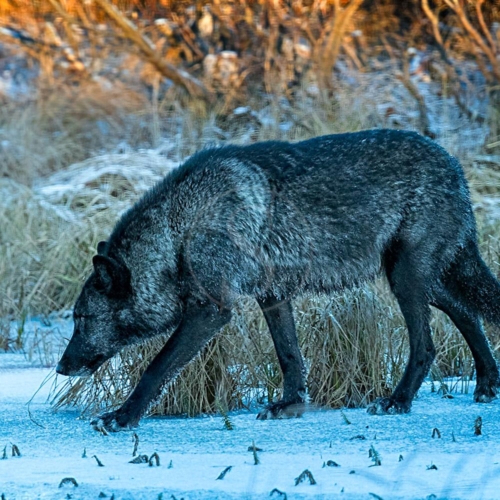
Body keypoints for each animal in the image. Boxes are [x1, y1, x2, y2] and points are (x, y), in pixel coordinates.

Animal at [56, 128, 500, 430]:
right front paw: (290, 405)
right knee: (468, 313)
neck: (181, 228)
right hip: (427, 283)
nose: (61, 367)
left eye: (82, 319)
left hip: (406, 280)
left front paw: (122, 417)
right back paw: (487, 384)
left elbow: (156, 366)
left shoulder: (212, 310)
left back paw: (399, 400)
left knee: (427, 345)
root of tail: (454, 164)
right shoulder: (272, 296)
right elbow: (290, 357)